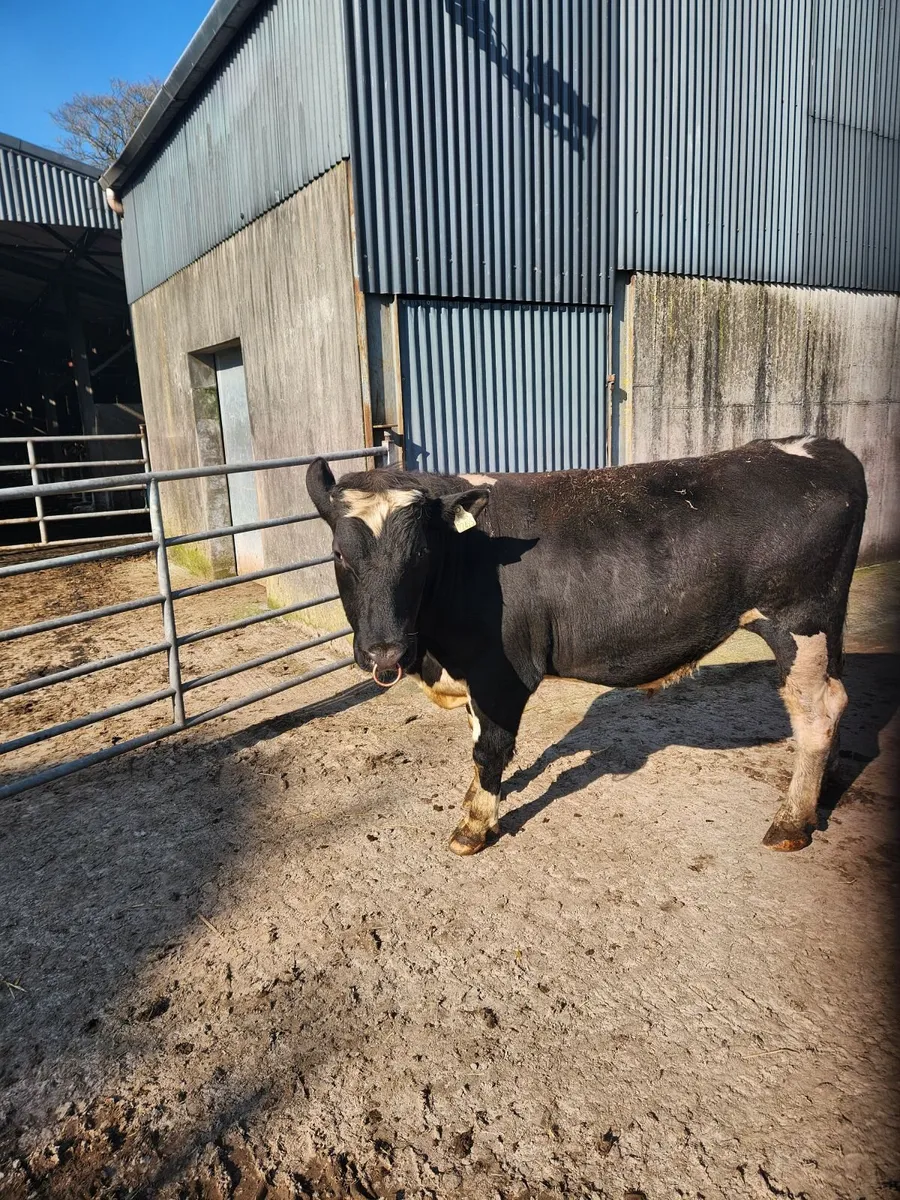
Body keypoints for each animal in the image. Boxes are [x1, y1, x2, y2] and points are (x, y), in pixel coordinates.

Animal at [306, 436, 867, 857]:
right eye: (338, 553)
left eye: (421, 554)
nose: (384, 653)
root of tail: (819, 446)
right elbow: (476, 737)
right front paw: (475, 799)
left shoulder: (500, 672)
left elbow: (490, 747)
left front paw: (474, 825)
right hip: (825, 629)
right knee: (839, 696)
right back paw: (826, 789)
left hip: (800, 621)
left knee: (816, 712)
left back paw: (792, 821)